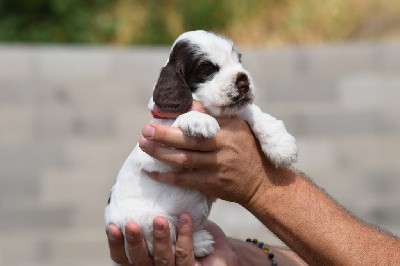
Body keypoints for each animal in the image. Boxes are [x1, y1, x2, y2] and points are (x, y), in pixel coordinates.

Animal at [104, 29, 298, 264]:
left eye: (238, 60)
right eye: (207, 69)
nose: (243, 81)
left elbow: (253, 112)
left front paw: (281, 144)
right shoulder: (156, 150)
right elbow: (178, 118)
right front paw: (199, 121)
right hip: (147, 222)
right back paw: (199, 243)